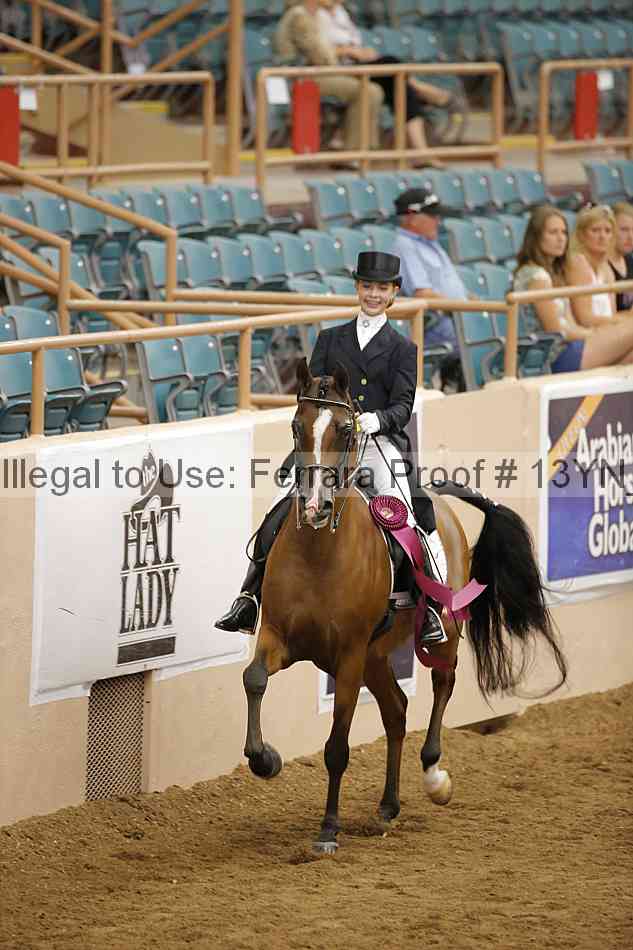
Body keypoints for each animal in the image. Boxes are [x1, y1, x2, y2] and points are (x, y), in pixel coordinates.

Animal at [242, 359, 567, 853]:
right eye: (297, 426)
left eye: (346, 429)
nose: (315, 507)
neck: (319, 552)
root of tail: (443, 506)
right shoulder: (279, 636)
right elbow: (255, 679)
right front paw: (265, 759)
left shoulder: (348, 656)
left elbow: (337, 747)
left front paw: (328, 830)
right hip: (376, 657)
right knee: (396, 711)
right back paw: (388, 805)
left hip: (439, 635)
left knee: (442, 684)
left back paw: (435, 777)